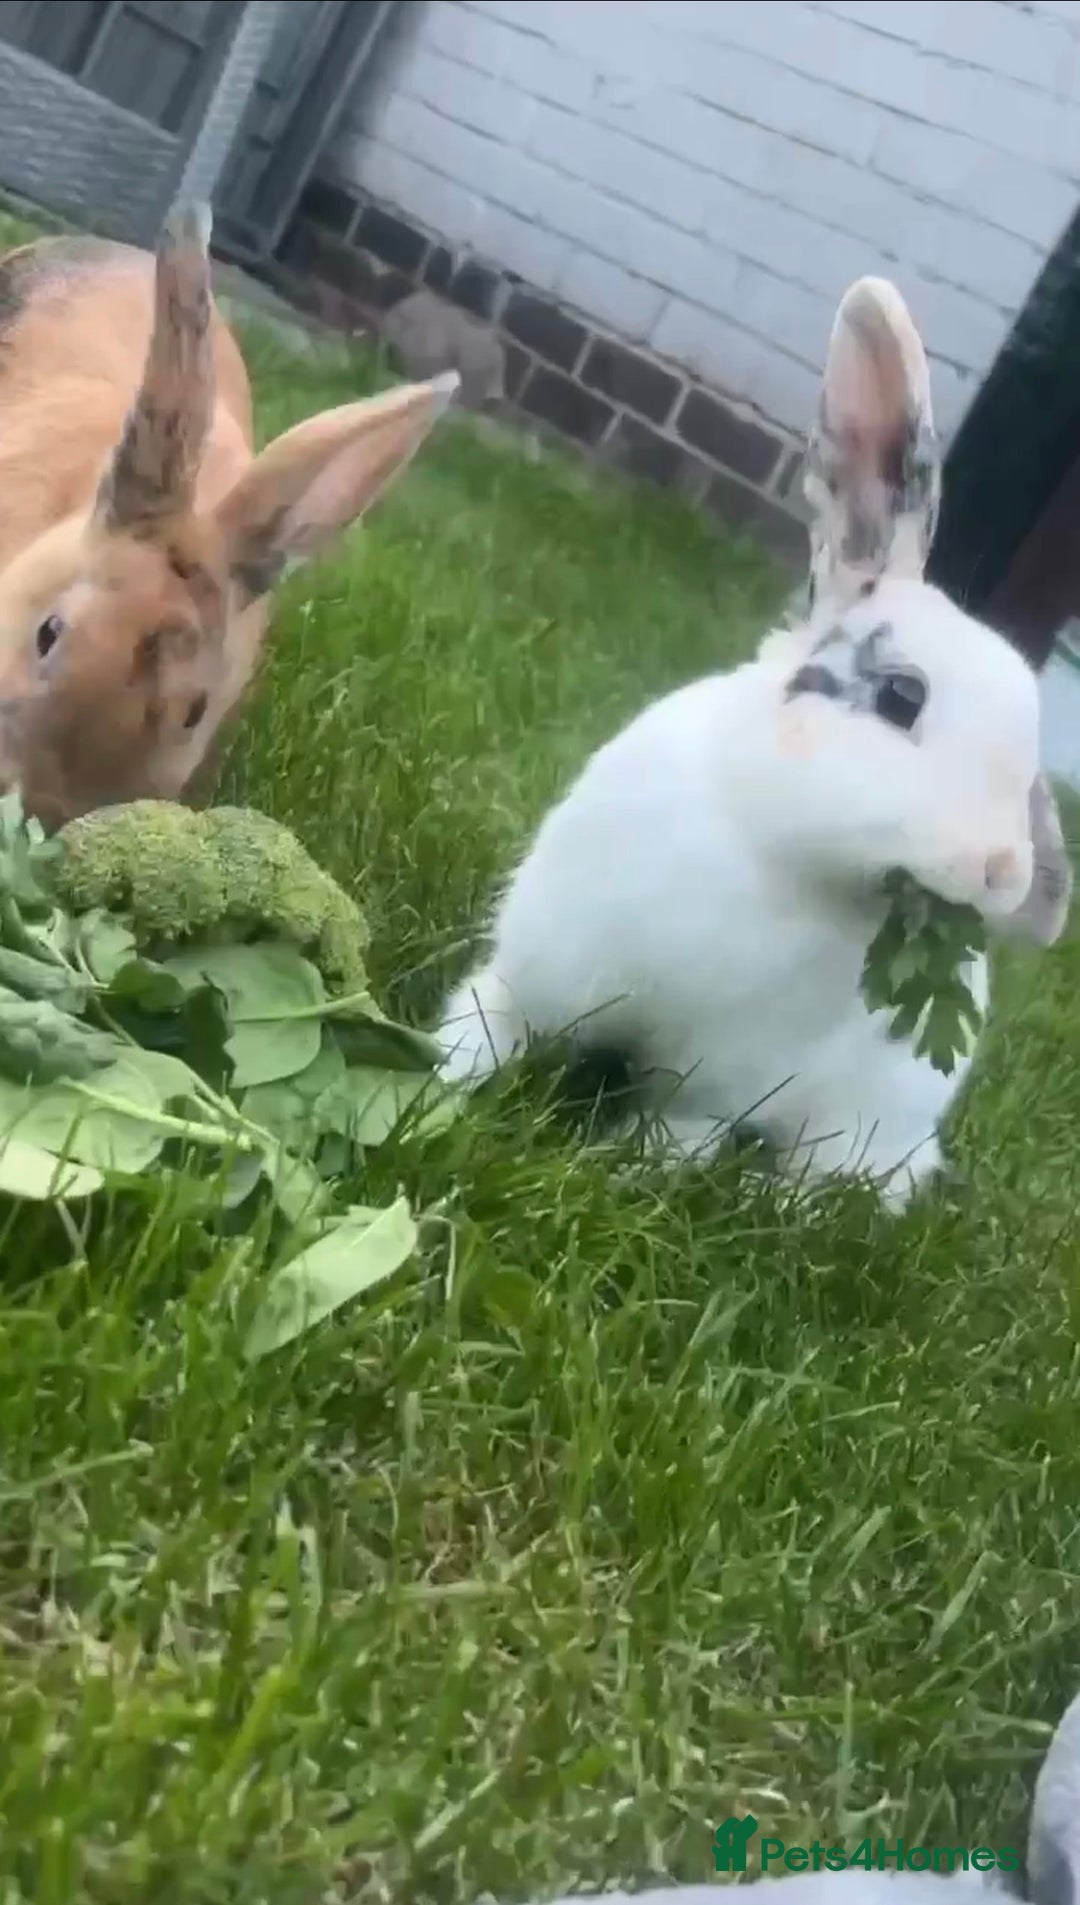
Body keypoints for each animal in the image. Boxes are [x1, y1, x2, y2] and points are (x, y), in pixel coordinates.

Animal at [436, 275, 1072, 1210]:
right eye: (901, 696)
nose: (999, 872)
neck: (775, 853)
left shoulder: (721, 1079)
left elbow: (678, 1131)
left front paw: (623, 1174)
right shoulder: (540, 965)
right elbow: (489, 1022)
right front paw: (437, 1088)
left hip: (869, 1120)